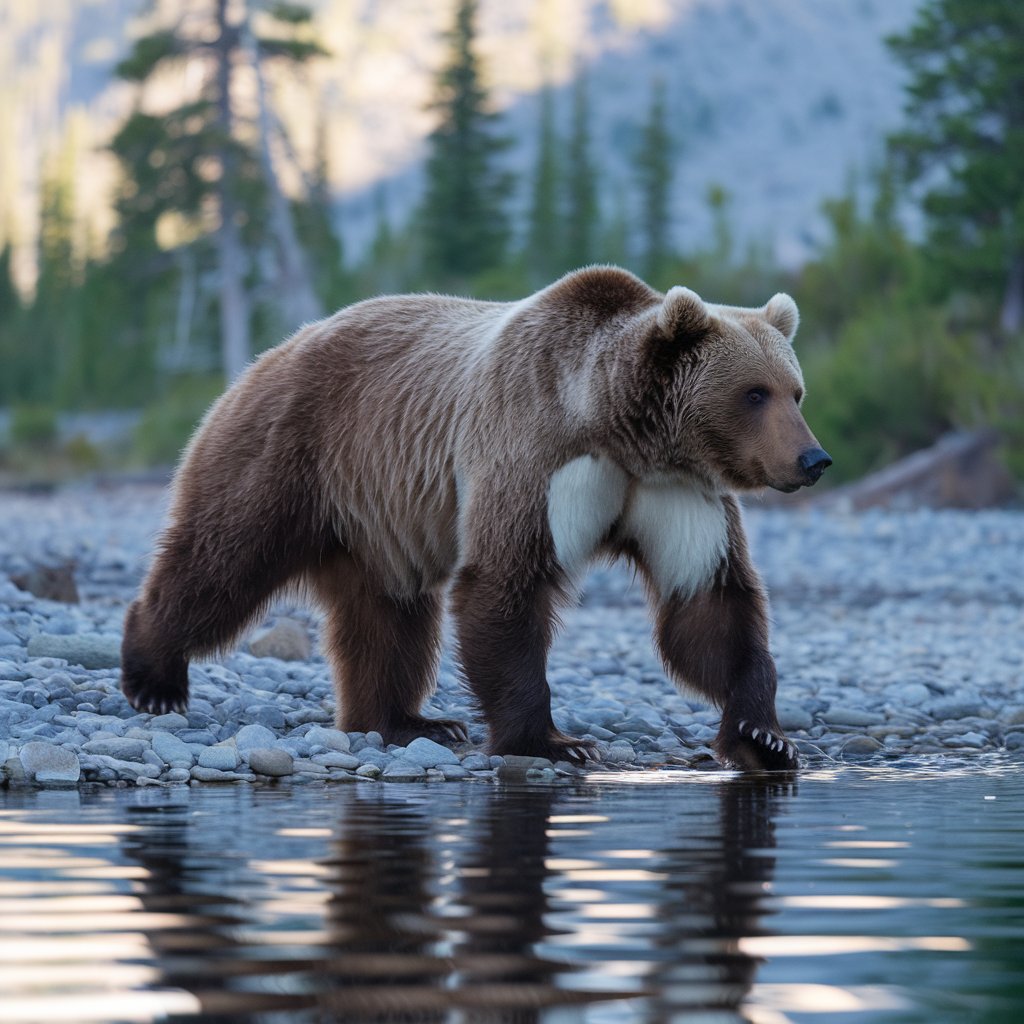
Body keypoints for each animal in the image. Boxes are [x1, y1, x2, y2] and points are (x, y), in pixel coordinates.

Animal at [123, 264, 831, 770]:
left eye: (794, 391)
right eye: (754, 394)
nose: (813, 458)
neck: (620, 429)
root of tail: (274, 350)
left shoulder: (677, 494)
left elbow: (710, 605)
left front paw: (764, 736)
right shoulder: (532, 455)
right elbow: (504, 583)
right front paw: (553, 740)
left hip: (377, 516)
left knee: (391, 615)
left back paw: (405, 720)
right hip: (290, 449)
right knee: (225, 558)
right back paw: (153, 674)